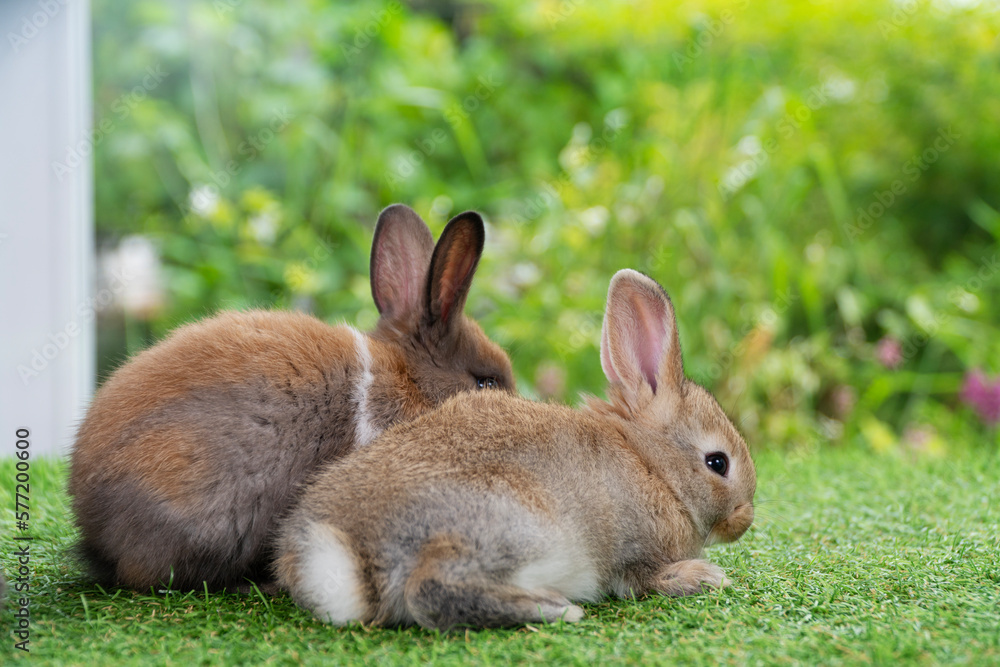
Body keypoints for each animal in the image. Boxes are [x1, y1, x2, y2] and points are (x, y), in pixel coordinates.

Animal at [275, 269, 756, 630]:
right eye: (718, 462)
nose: (745, 520)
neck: (651, 465)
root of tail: (347, 557)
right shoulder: (633, 551)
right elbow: (644, 579)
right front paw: (703, 577)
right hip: (516, 528)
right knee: (430, 590)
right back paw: (556, 608)